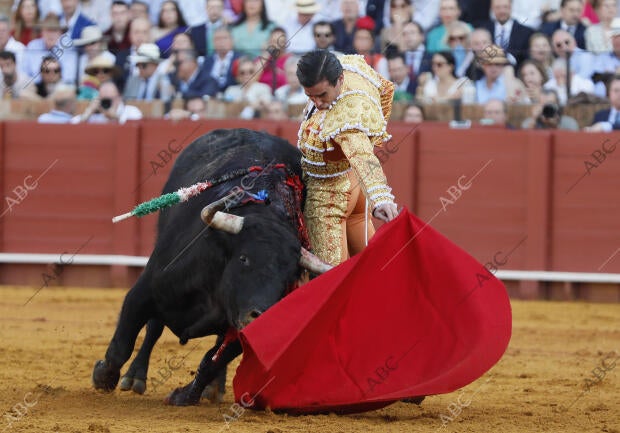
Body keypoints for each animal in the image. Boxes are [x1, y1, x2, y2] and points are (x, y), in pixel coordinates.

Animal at [91, 128, 330, 404]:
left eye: (289, 275)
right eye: (244, 258)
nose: (261, 316)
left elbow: (211, 361)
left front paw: (185, 395)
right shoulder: (146, 290)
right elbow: (124, 342)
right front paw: (103, 377)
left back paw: (214, 389)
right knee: (153, 328)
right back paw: (135, 377)